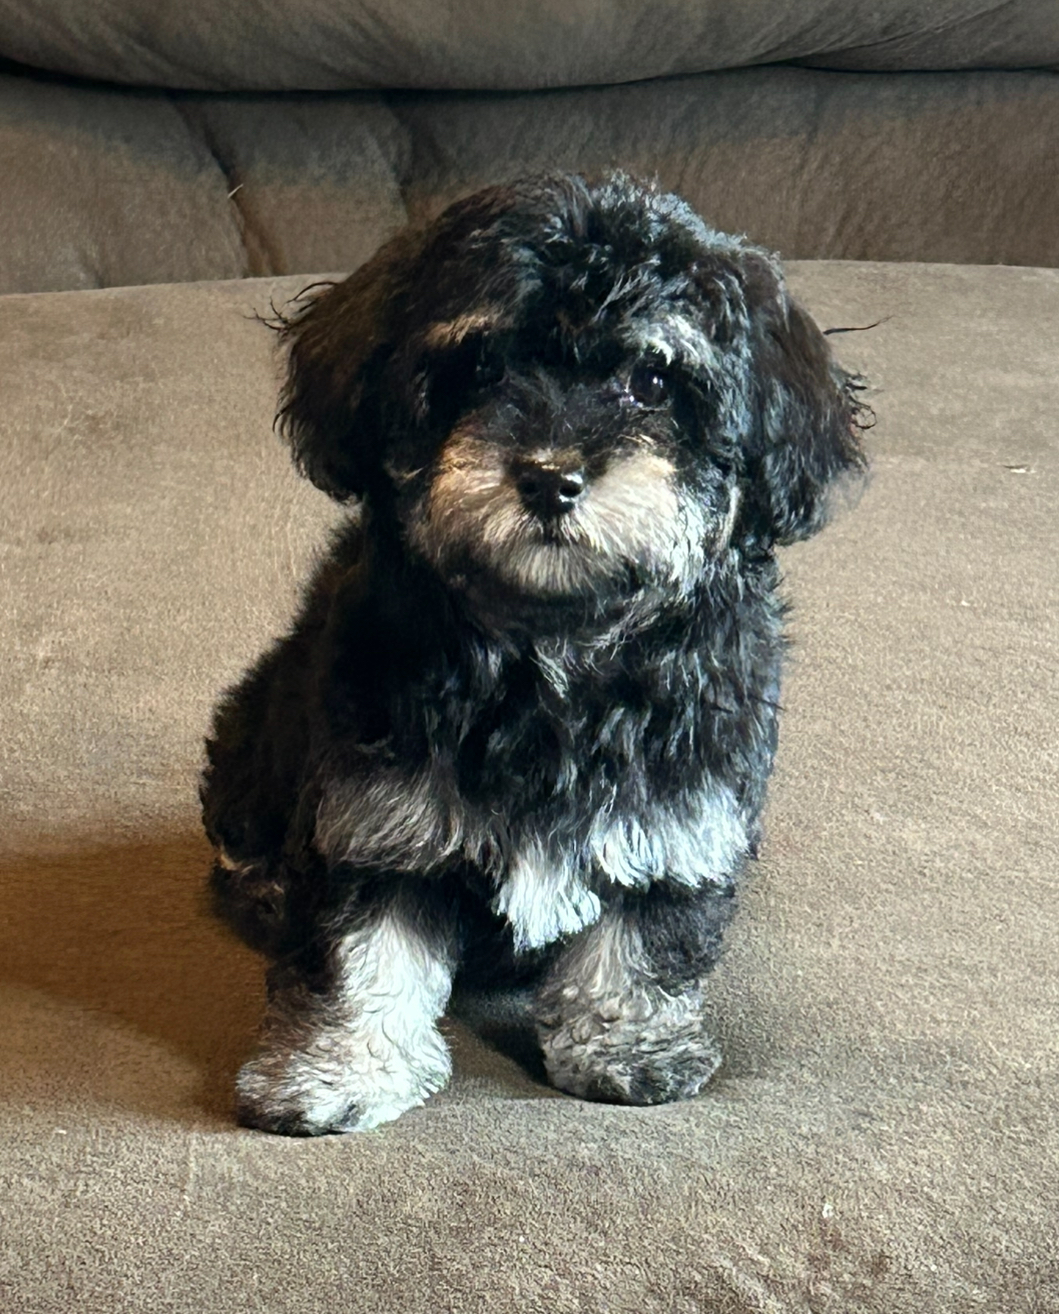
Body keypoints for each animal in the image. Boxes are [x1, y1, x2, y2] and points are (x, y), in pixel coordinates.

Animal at [201, 172, 872, 1140]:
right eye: (481, 366)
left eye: (651, 378)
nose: (550, 477)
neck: (549, 646)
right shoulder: (372, 816)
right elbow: (359, 952)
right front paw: (336, 1071)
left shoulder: (679, 809)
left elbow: (645, 933)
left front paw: (629, 1048)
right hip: (260, 720)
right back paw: (259, 885)